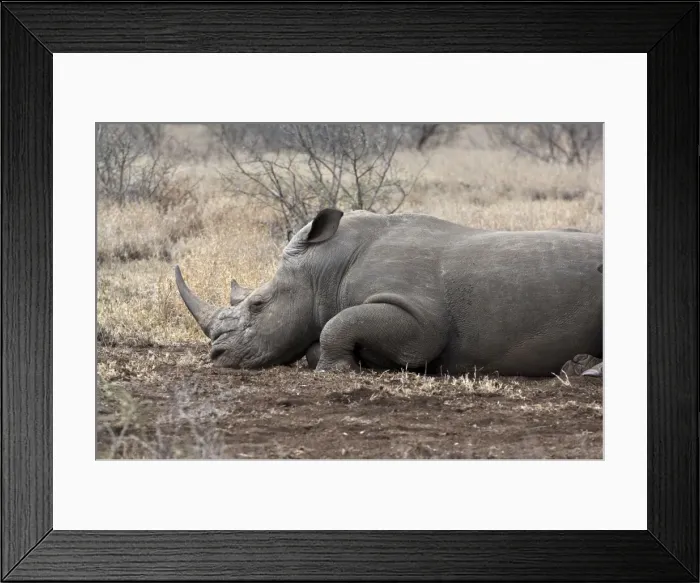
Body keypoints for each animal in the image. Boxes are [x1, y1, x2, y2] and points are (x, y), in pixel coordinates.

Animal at [175, 209, 603, 377]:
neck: (325, 269)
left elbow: (335, 325)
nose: (217, 356)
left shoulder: (421, 320)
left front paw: (336, 370)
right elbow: (325, 331)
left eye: (258, 304)